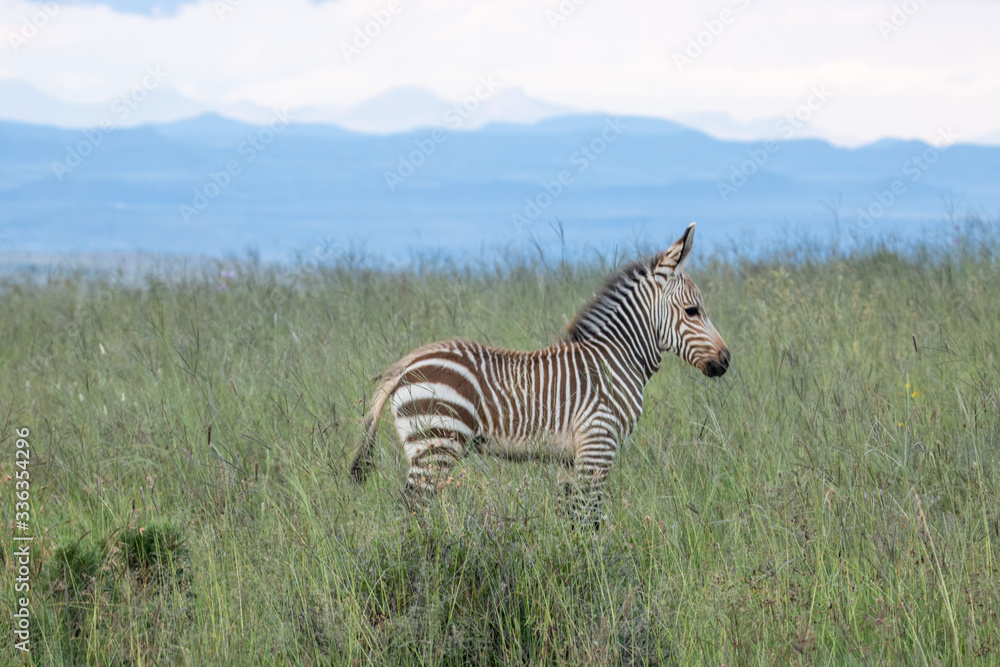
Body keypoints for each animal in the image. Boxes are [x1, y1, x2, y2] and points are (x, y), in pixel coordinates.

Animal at [349, 223, 730, 519]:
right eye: (693, 311)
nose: (726, 361)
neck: (614, 359)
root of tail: (406, 365)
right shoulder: (598, 444)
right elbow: (590, 518)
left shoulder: (572, 458)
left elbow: (571, 515)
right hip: (436, 442)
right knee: (411, 508)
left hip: (425, 445)